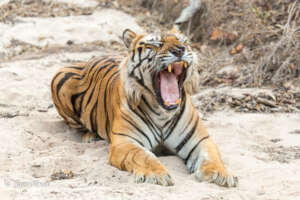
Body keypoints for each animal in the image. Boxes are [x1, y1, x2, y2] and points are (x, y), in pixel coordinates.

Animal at [52, 27, 239, 187]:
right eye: (156, 44)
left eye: (183, 41)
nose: (180, 50)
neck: (163, 112)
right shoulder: (125, 142)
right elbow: (143, 156)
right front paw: (157, 175)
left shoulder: (200, 140)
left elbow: (211, 157)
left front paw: (221, 174)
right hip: (59, 77)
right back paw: (90, 136)